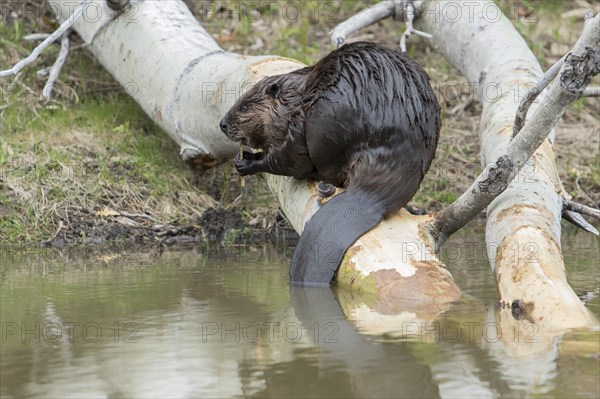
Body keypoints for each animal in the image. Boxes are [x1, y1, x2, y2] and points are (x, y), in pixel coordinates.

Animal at [220, 41, 440, 288]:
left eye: (244, 107)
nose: (222, 124)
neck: (297, 95)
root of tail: (369, 198)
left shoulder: (298, 120)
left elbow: (291, 157)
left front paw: (248, 162)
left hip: (323, 124)